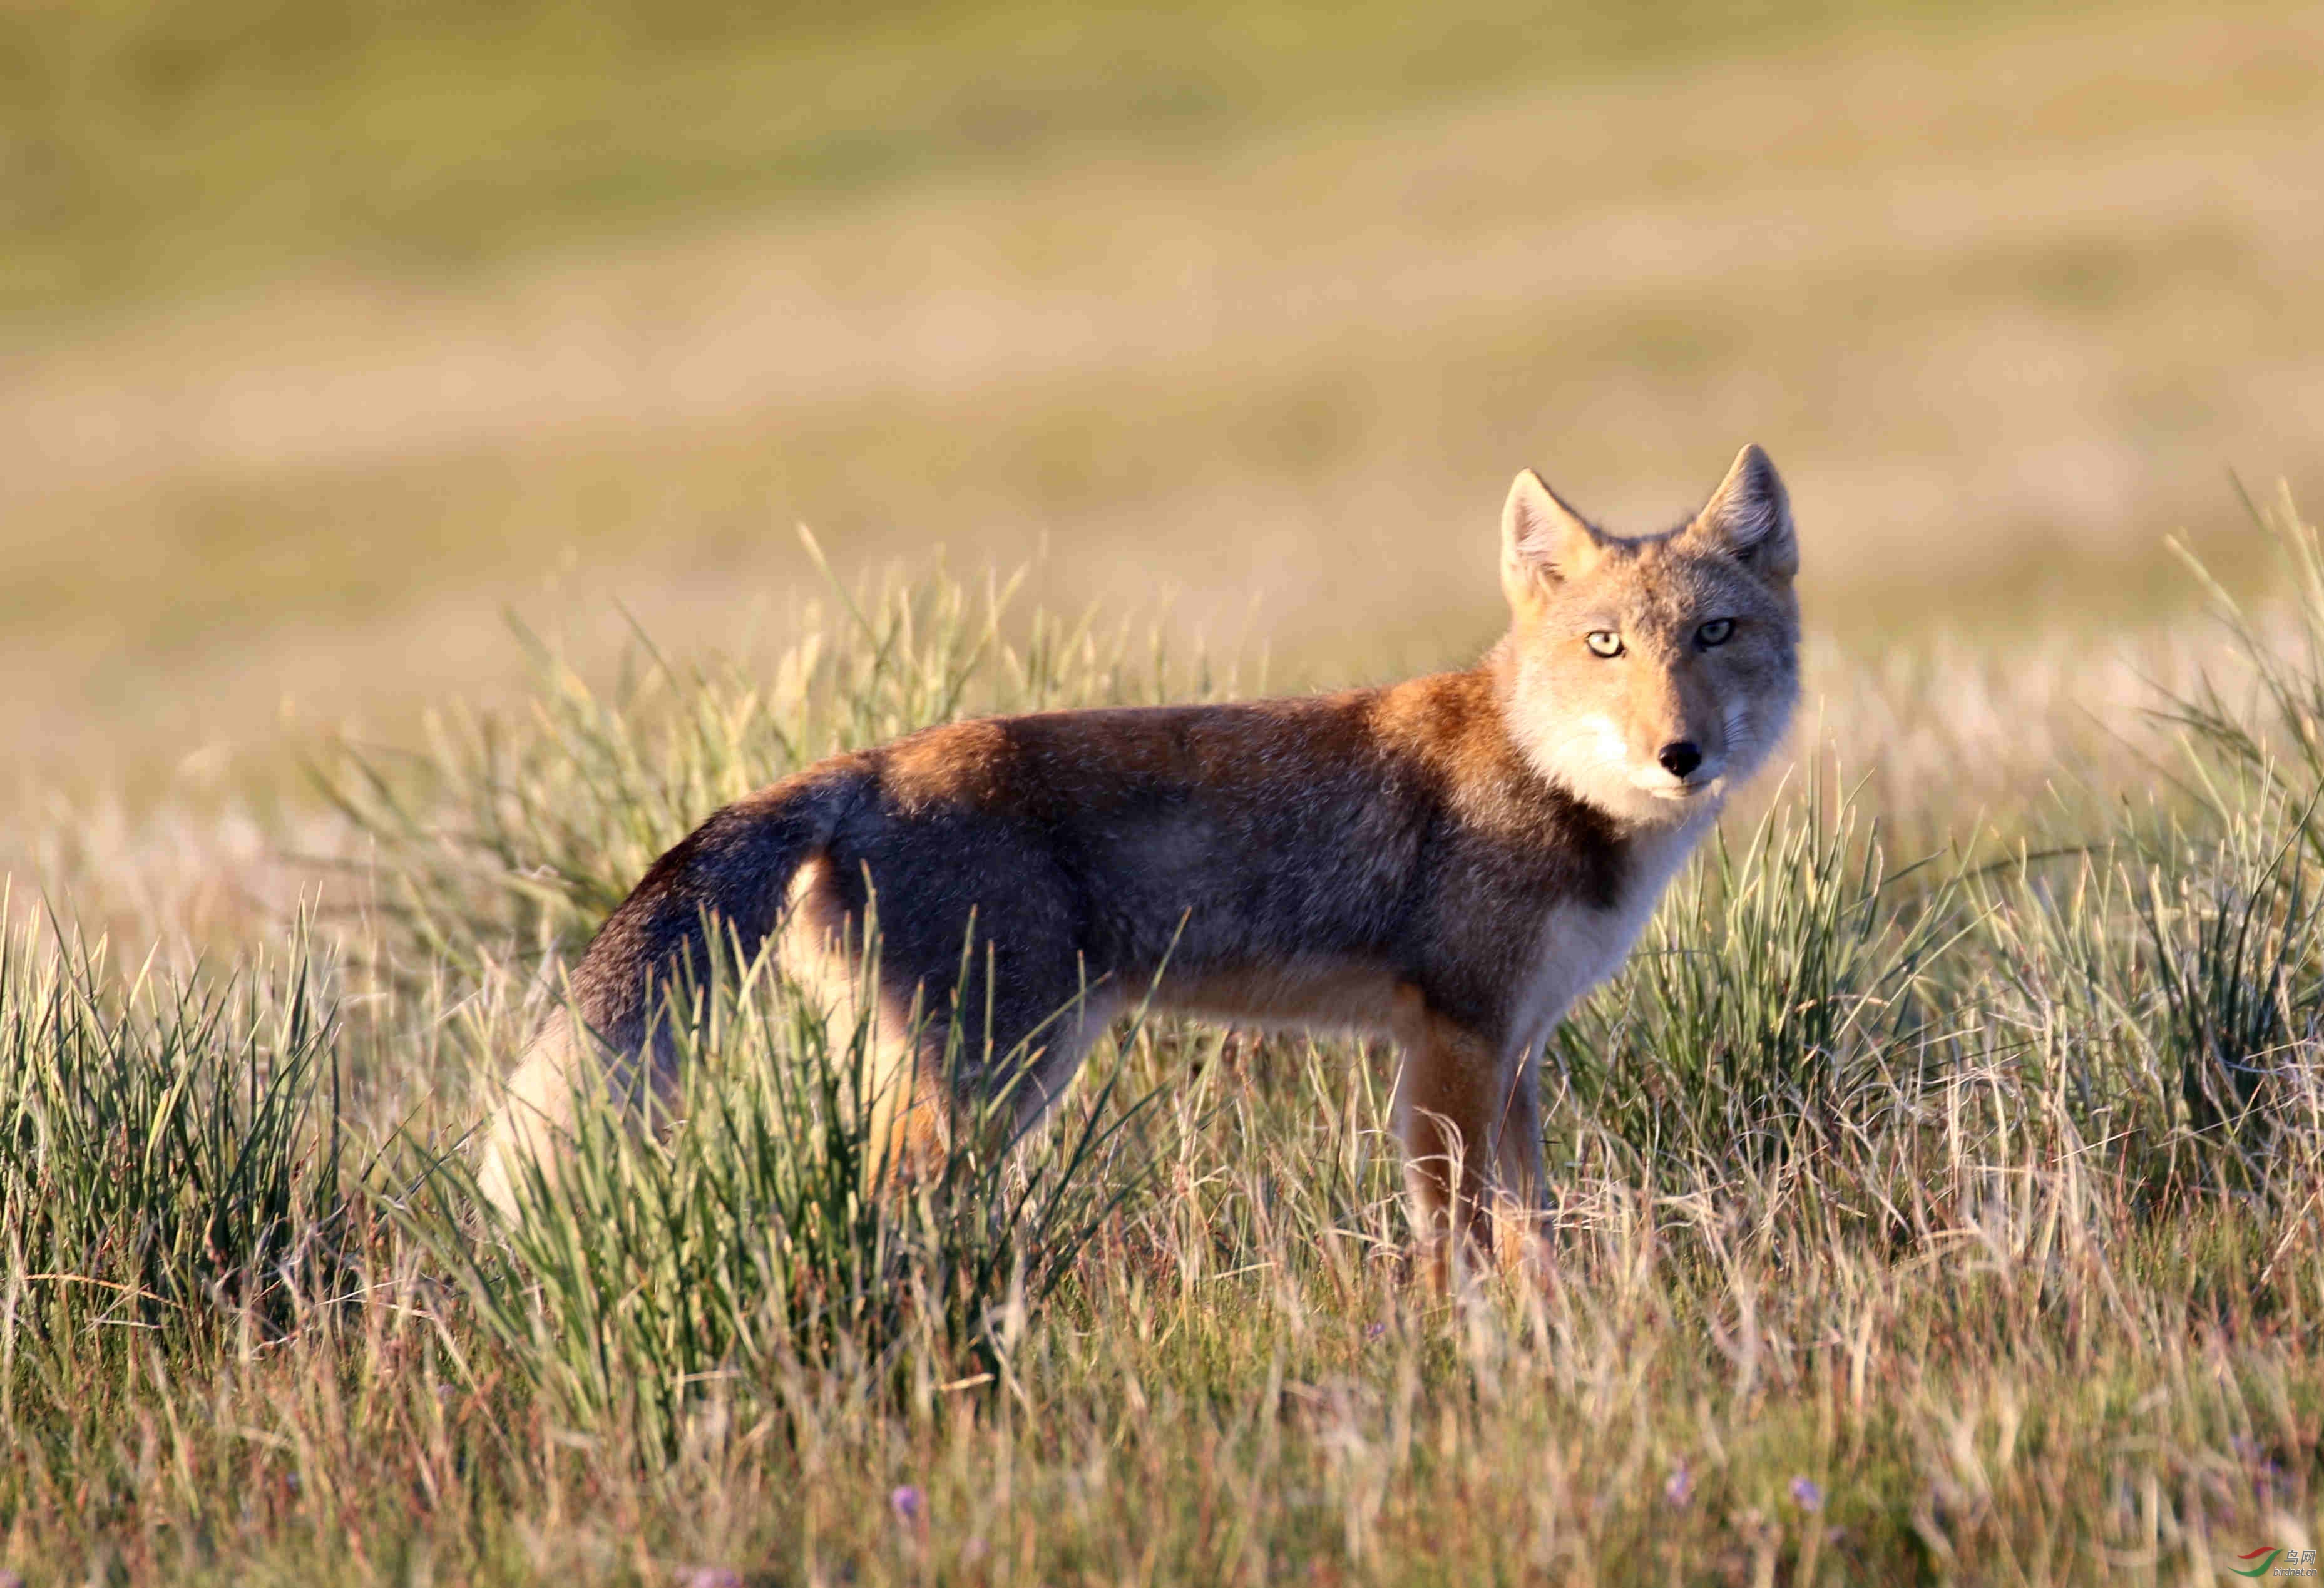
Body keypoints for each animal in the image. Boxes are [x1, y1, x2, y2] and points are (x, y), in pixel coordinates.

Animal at [481, 446, 1803, 1264]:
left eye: (1713, 633)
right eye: (1604, 646)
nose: (1679, 752)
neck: (1557, 790)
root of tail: (857, 767)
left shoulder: (1513, 1049)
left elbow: (1534, 1240)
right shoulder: (1450, 1047)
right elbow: (1455, 1245)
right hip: (993, 1077)